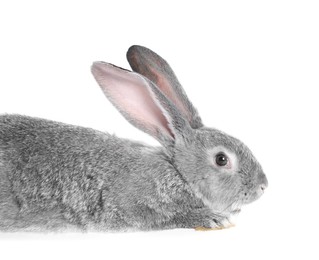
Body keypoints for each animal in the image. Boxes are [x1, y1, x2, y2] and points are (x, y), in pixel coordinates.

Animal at [0, 45, 268, 232]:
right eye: (221, 159)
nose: (263, 186)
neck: (177, 172)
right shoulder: (131, 206)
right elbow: (164, 218)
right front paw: (212, 219)